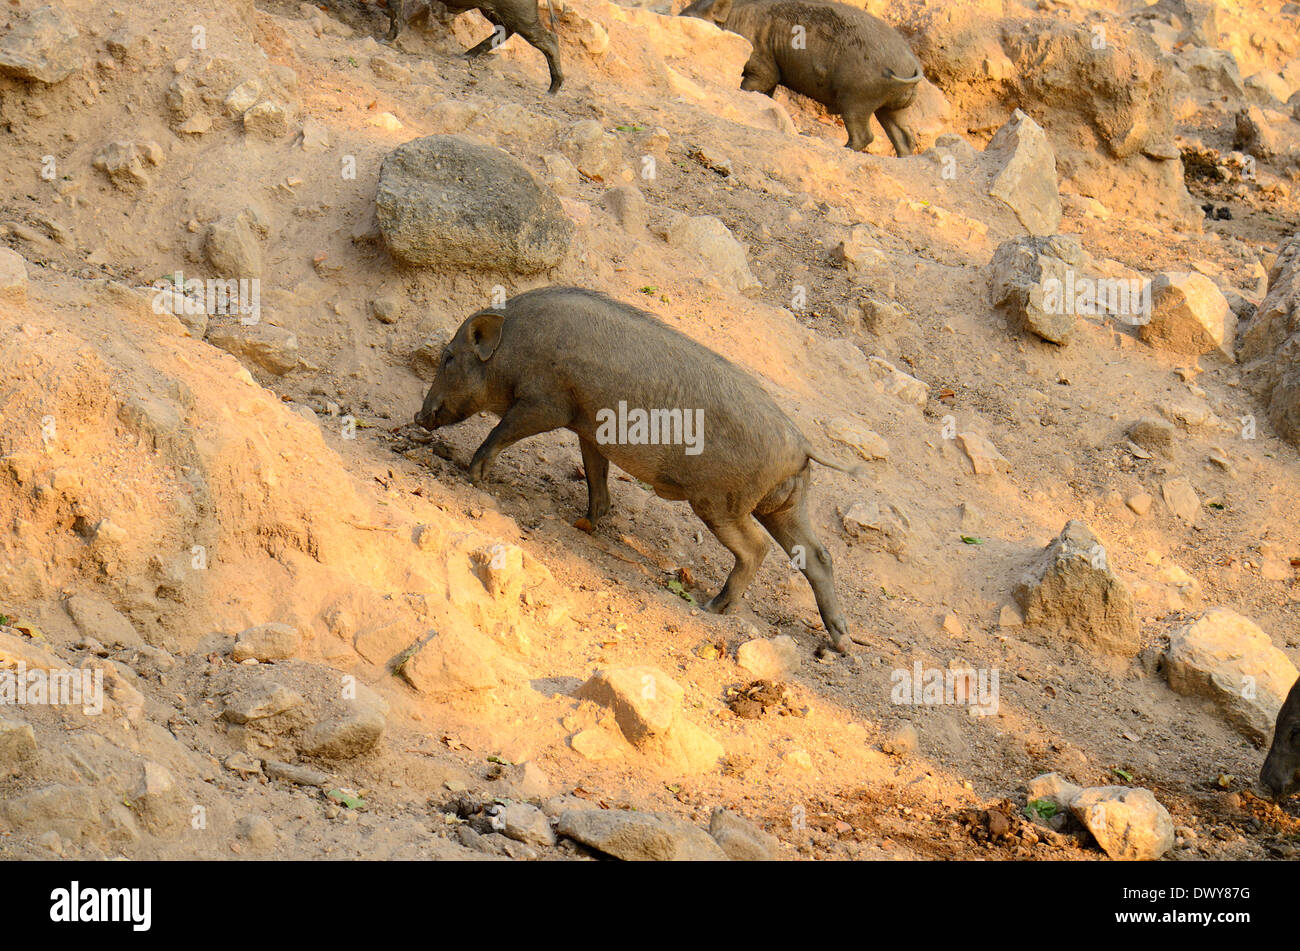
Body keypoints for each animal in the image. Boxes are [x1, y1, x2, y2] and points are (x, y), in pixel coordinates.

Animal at [416, 285, 863, 649]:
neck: (515, 347)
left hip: (720, 502)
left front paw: (472, 477)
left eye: (449, 358)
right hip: (785, 507)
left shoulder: (544, 404)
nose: (419, 417)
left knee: (757, 548)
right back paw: (840, 643)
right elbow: (596, 477)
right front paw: (589, 523)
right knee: (819, 556)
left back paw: (712, 607)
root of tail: (802, 445)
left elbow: (499, 434)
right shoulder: (588, 428)